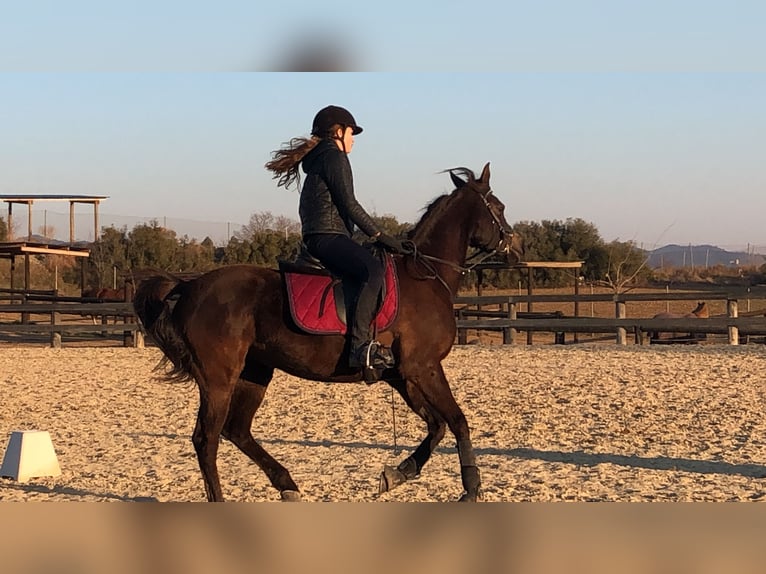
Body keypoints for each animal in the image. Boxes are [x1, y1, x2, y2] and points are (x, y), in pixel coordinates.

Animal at [135, 163, 524, 504]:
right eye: (499, 207)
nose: (517, 250)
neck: (425, 276)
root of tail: (188, 287)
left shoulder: (403, 374)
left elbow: (436, 425)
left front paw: (396, 474)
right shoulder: (424, 368)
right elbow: (457, 421)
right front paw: (471, 487)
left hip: (255, 372)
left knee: (236, 430)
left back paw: (287, 485)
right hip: (218, 378)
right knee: (207, 438)